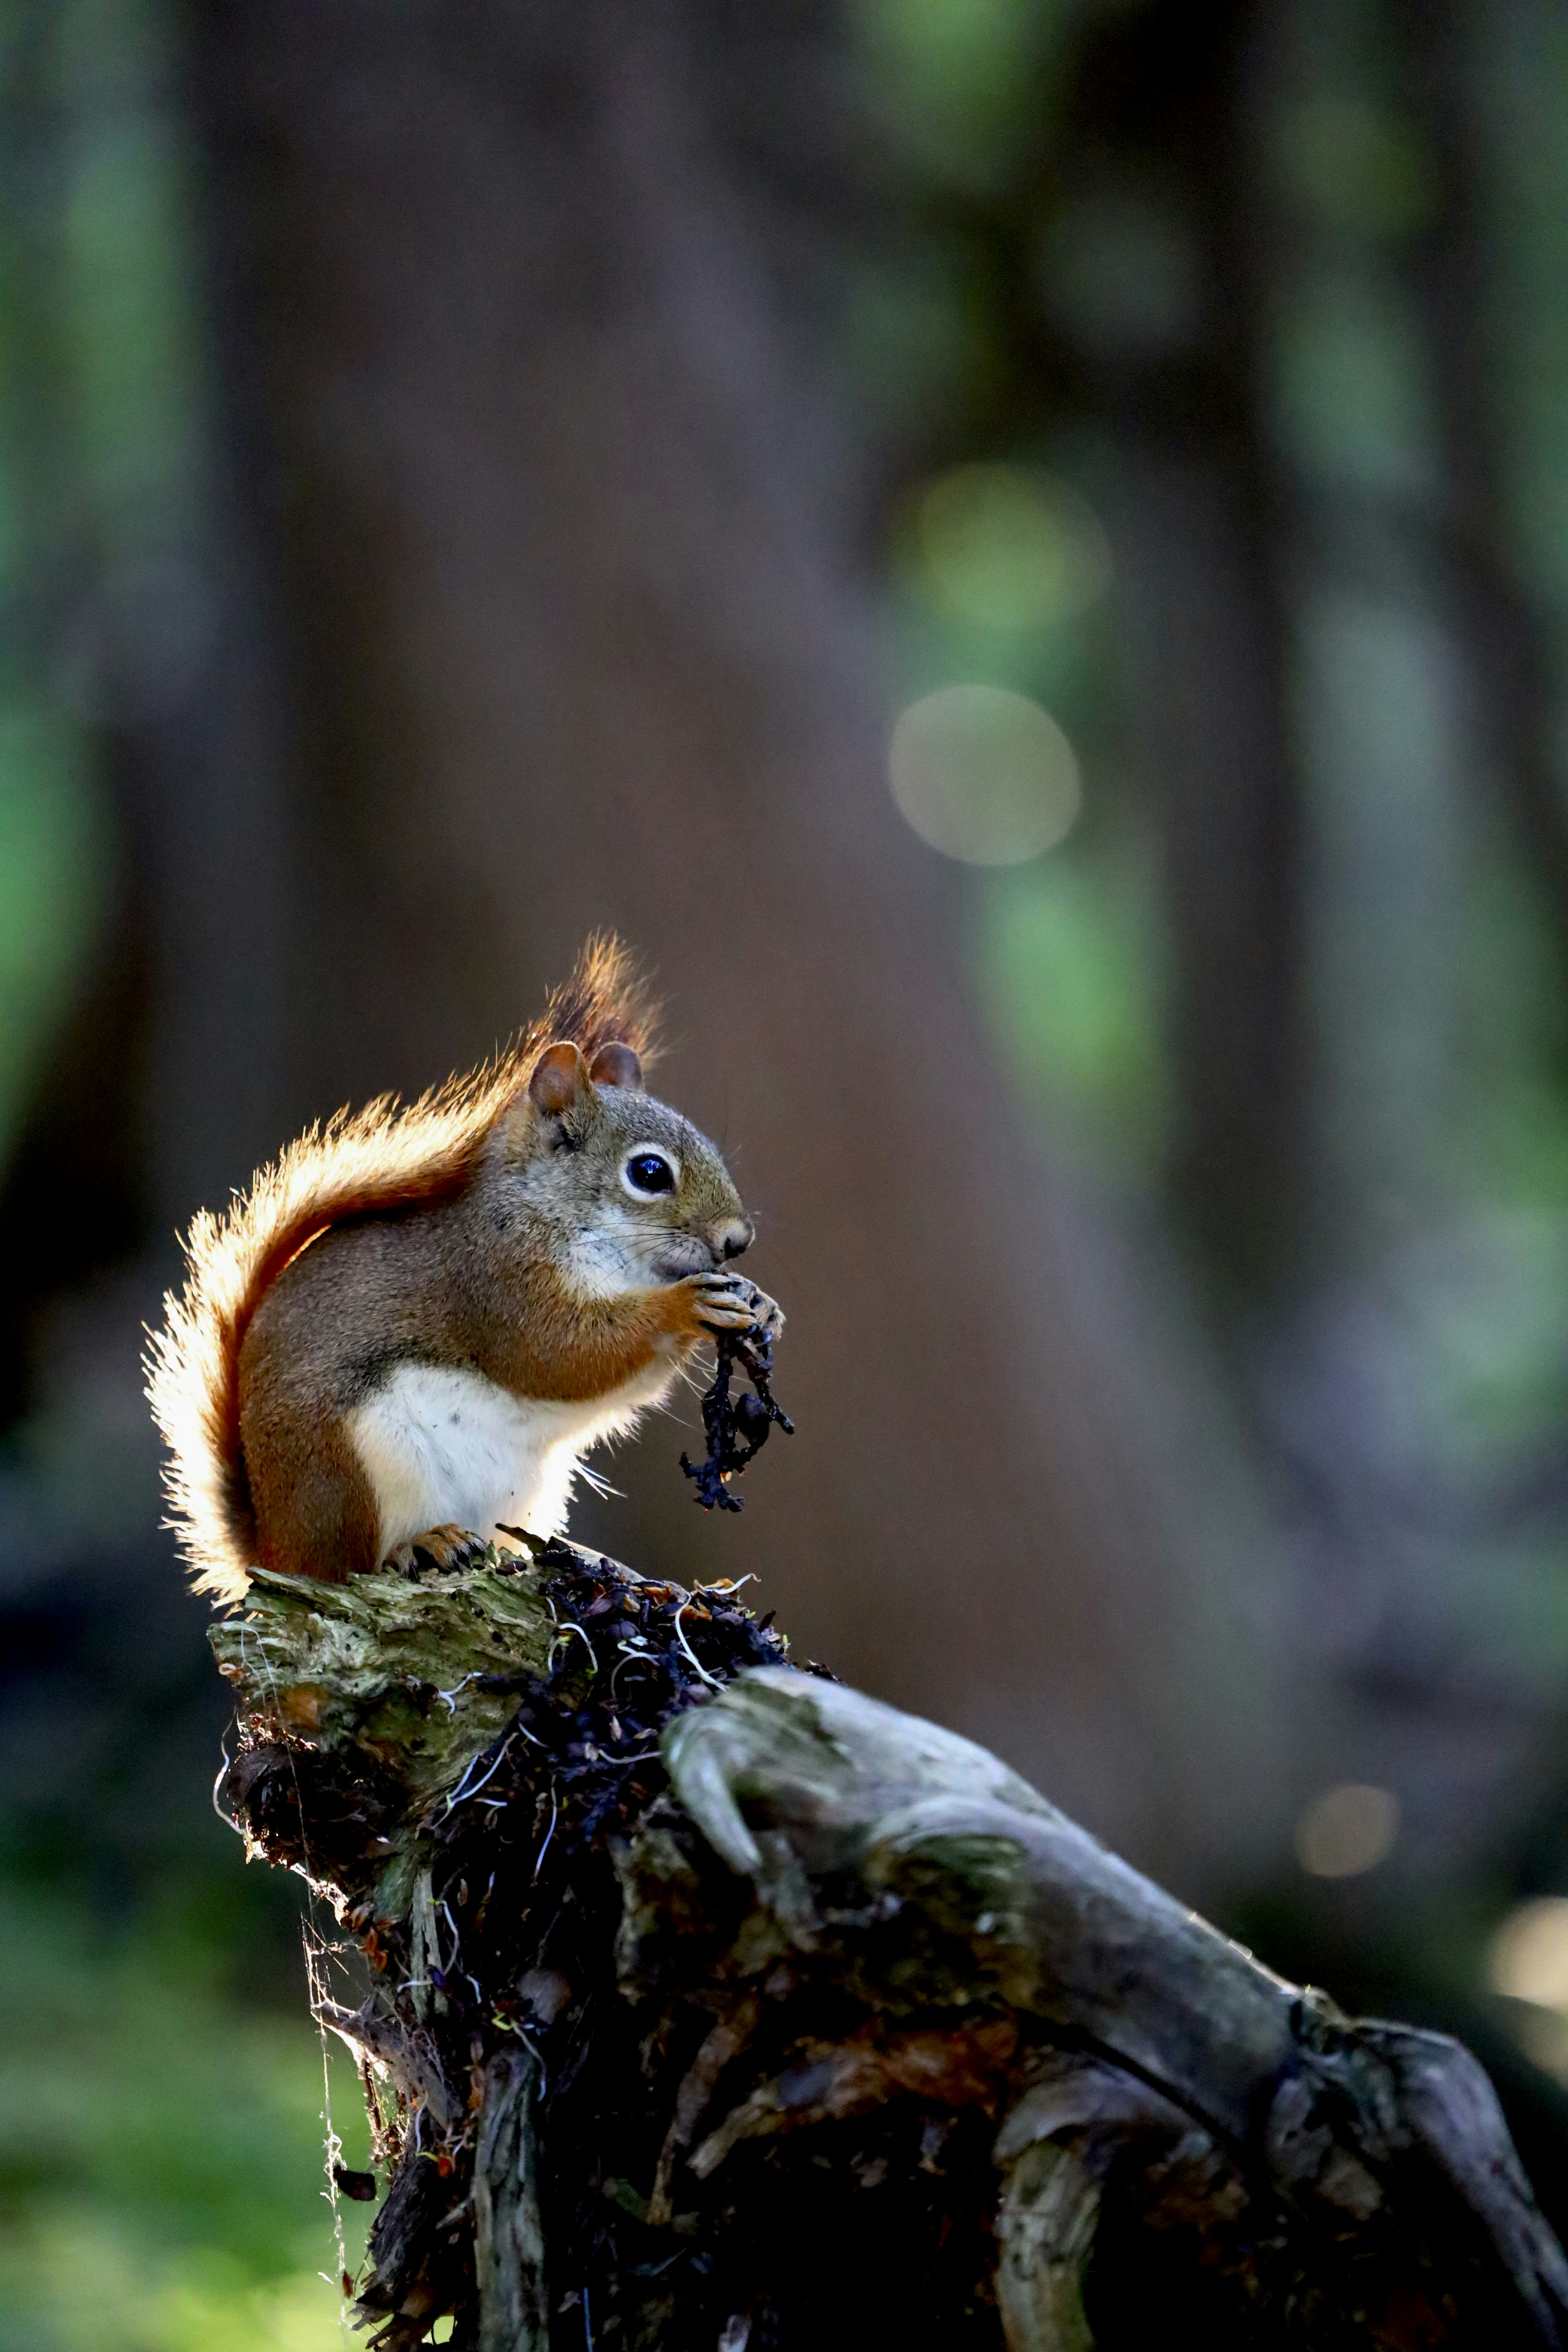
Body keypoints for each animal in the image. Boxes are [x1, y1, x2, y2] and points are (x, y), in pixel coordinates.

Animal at [146, 938, 782, 1606]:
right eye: (650, 1173)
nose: (737, 1240)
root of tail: (269, 1552)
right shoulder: (496, 1281)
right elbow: (561, 1354)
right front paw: (686, 1306)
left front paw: (762, 1305)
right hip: (355, 1465)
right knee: (350, 1564)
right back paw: (421, 1545)